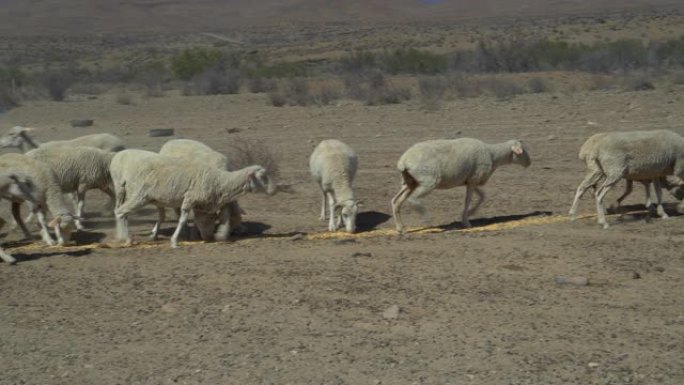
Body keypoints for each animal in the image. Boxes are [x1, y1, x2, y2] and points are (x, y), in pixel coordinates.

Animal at [109, 148, 276, 248]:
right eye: (262, 176)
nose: (274, 190)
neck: (218, 180)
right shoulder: (189, 199)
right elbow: (183, 220)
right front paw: (174, 242)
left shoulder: (201, 205)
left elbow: (202, 220)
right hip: (138, 196)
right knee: (120, 212)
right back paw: (126, 239)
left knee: (122, 212)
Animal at [390, 139, 528, 234]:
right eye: (523, 150)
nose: (529, 163)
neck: (493, 154)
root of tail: (403, 161)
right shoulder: (474, 179)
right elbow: (468, 201)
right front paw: (466, 222)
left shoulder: (471, 180)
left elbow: (482, 196)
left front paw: (471, 213)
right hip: (429, 181)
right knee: (413, 199)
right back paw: (427, 219)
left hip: (409, 182)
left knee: (396, 201)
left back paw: (401, 229)